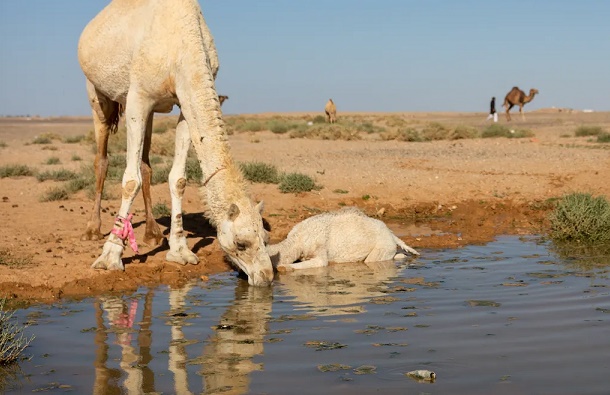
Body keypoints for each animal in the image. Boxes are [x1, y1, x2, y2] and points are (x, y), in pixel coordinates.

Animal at [77, 0, 272, 286]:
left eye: (265, 239)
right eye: (241, 243)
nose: (267, 277)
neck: (182, 47)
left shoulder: (182, 99)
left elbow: (178, 179)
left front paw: (180, 251)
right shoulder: (137, 98)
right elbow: (130, 181)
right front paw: (110, 255)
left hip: (150, 110)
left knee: (146, 163)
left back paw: (152, 233)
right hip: (97, 93)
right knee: (101, 158)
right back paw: (92, 229)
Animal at [268, 207, 418, 272]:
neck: (296, 241)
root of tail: (391, 233)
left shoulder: (319, 249)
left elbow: (321, 263)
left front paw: (284, 268)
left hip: (382, 246)